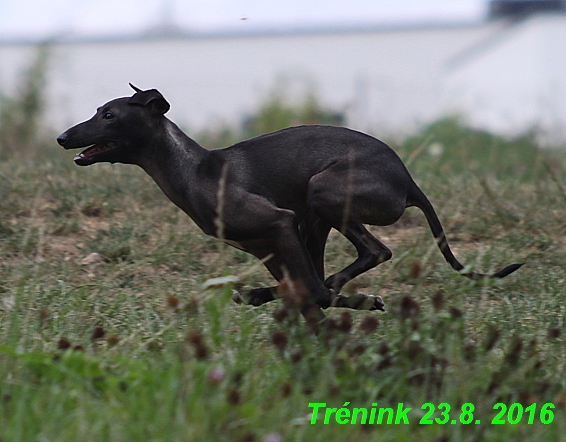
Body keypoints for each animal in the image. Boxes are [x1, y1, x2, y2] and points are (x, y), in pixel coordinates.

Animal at [57, 84, 524, 322]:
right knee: (335, 269)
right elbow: (301, 293)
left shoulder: (278, 222)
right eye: (98, 110)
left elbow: (312, 293)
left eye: (110, 115)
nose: (62, 137)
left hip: (323, 190)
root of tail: (408, 182)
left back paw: (343, 290)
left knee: (372, 253)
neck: (195, 170)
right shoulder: (271, 246)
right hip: (311, 219)